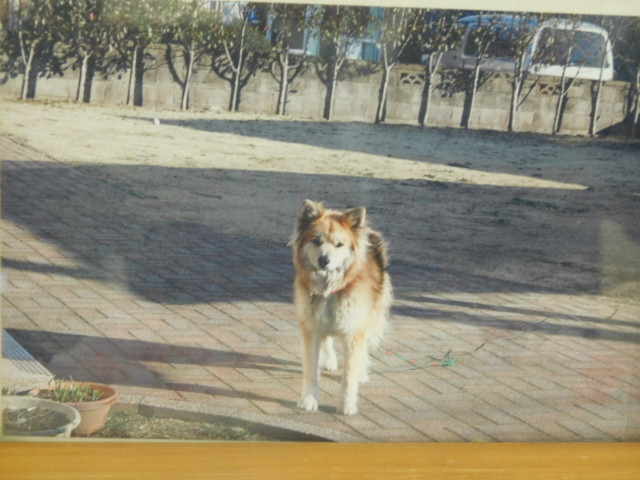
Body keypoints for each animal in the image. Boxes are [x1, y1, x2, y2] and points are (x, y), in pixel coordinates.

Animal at [291, 199, 392, 415]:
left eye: (339, 244)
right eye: (316, 241)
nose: (324, 260)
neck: (330, 289)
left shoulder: (354, 332)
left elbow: (349, 374)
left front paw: (347, 404)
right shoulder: (311, 327)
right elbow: (311, 369)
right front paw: (309, 400)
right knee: (327, 339)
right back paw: (329, 360)